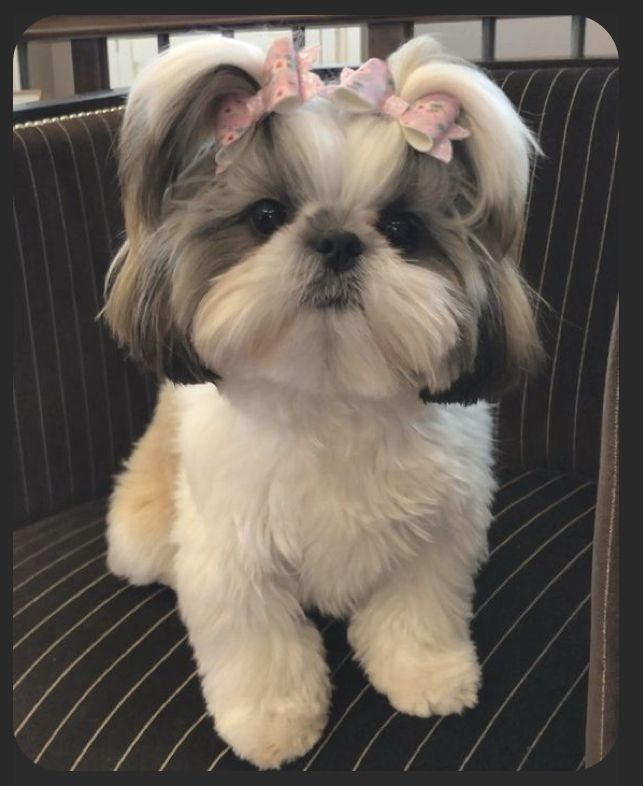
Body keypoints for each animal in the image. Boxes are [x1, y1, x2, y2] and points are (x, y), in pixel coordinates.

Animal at [102, 35, 544, 764]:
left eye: (401, 227)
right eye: (266, 216)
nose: (338, 239)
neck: (330, 394)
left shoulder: (436, 534)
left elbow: (415, 609)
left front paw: (425, 673)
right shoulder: (235, 556)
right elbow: (260, 644)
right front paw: (271, 721)